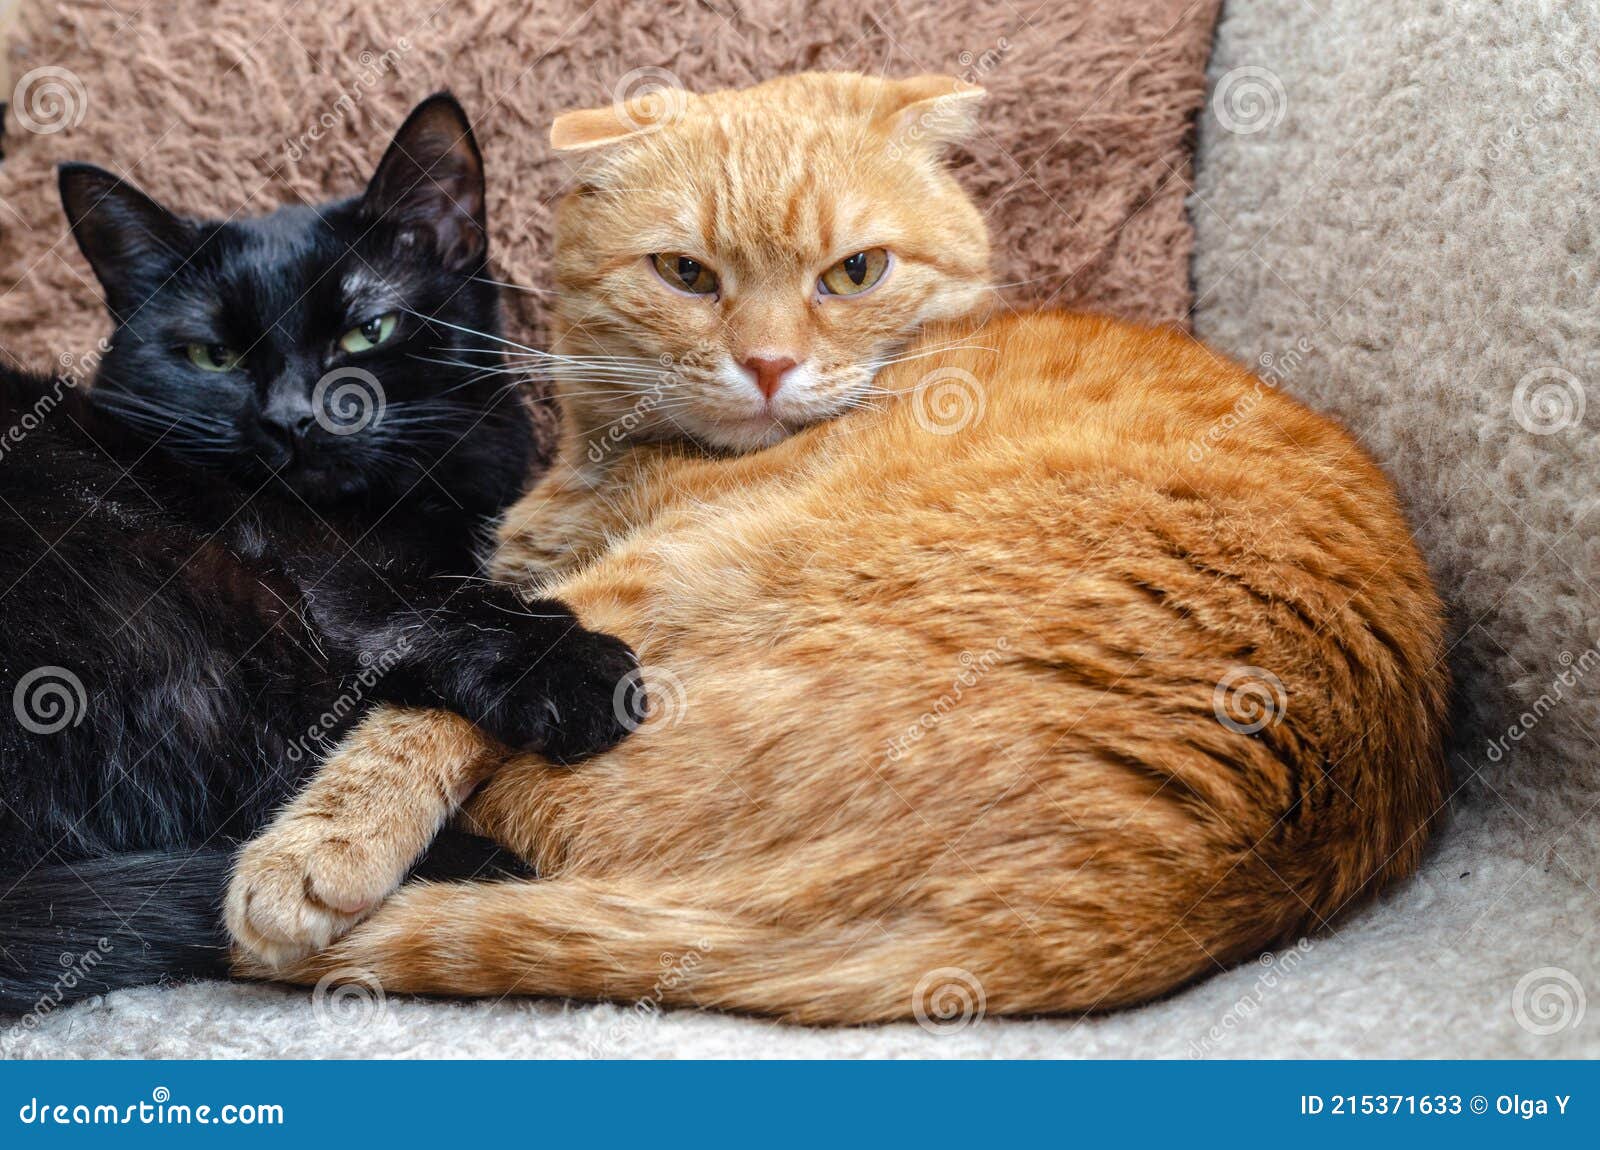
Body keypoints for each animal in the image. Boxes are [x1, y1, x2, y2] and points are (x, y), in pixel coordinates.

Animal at [0, 94, 636, 1010]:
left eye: (369, 332)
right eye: (212, 356)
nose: (294, 419)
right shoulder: (324, 569)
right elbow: (441, 603)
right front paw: (575, 669)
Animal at [225, 74, 1452, 1023]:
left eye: (854, 272)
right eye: (686, 274)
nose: (769, 366)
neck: (606, 467)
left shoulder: (626, 582)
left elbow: (440, 694)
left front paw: (313, 852)